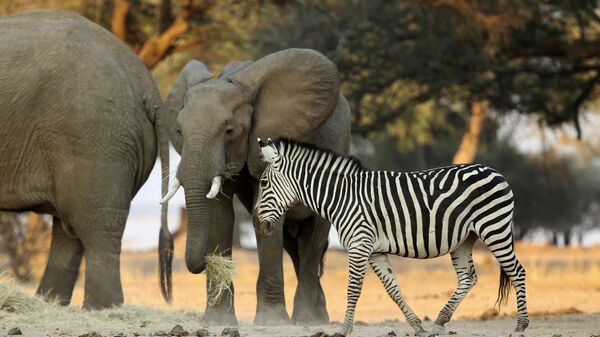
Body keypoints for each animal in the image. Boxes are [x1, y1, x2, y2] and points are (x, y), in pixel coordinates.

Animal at [0, 8, 171, 308]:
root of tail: (148, 89)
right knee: (69, 231)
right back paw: (51, 305)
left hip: (97, 137)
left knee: (96, 226)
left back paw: (99, 309)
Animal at [159, 48, 352, 322]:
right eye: (178, 130)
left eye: (229, 131)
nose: (202, 263)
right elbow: (219, 216)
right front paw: (218, 321)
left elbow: (266, 217)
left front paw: (272, 322)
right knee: (294, 244)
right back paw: (317, 316)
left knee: (314, 238)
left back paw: (307, 320)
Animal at [253, 137, 528, 336]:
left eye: (264, 183)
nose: (258, 224)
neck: (342, 197)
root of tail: (494, 171)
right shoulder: (375, 251)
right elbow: (393, 289)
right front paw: (417, 326)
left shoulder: (359, 244)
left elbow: (353, 289)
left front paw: (343, 329)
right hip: (464, 239)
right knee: (468, 278)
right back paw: (439, 321)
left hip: (494, 227)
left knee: (517, 271)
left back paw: (521, 325)